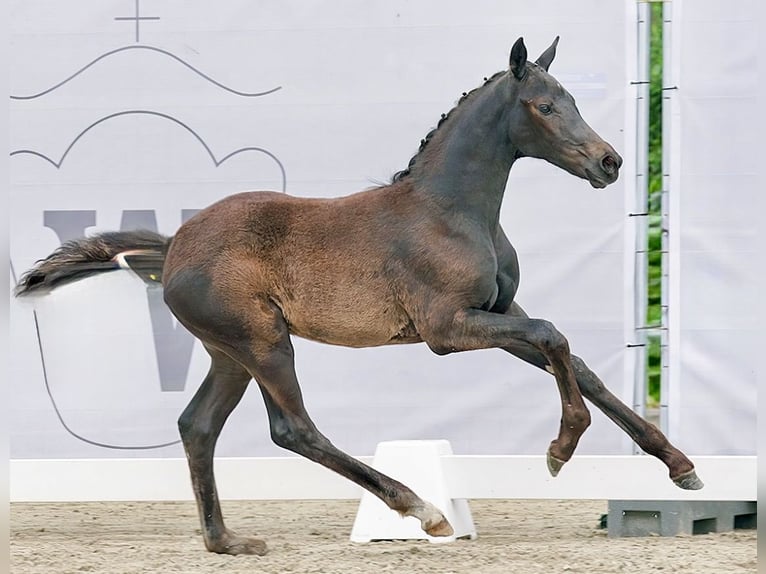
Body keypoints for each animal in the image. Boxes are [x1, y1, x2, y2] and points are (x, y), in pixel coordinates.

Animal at [15, 37, 703, 555]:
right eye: (543, 106)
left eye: (572, 100)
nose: (610, 162)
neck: (451, 210)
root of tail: (177, 243)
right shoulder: (446, 329)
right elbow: (555, 337)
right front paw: (562, 448)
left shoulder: (497, 311)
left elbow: (576, 361)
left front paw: (679, 464)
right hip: (263, 342)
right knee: (292, 428)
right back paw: (422, 509)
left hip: (228, 352)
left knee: (198, 425)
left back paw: (225, 541)